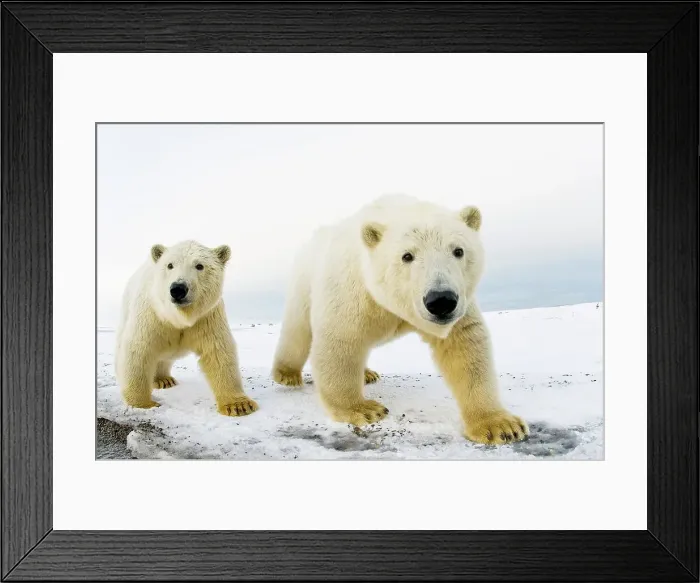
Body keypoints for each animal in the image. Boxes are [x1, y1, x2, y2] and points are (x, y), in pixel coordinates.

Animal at [115, 240, 258, 417]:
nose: (178, 289)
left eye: (199, 265)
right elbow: (139, 349)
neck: (178, 317)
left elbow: (218, 351)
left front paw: (239, 405)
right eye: (170, 265)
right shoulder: (151, 315)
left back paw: (163, 379)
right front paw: (143, 404)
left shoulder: (207, 317)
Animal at [272, 194, 528, 445]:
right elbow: (341, 339)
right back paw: (287, 374)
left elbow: (464, 345)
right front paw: (364, 409)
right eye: (407, 256)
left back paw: (367, 373)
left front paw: (500, 425)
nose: (441, 300)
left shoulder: (461, 302)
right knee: (297, 331)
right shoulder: (352, 289)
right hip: (303, 285)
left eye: (458, 250)